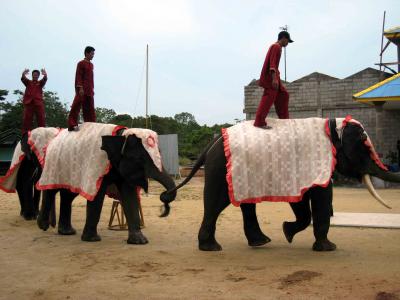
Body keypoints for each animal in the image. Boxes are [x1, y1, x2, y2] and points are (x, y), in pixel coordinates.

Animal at [165, 118, 400, 252]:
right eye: (364, 147)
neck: (333, 125)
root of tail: (212, 143)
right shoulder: (312, 162)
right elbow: (316, 197)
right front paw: (327, 248)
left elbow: (304, 200)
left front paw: (288, 232)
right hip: (220, 170)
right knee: (216, 204)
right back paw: (212, 248)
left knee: (244, 204)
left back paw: (259, 242)